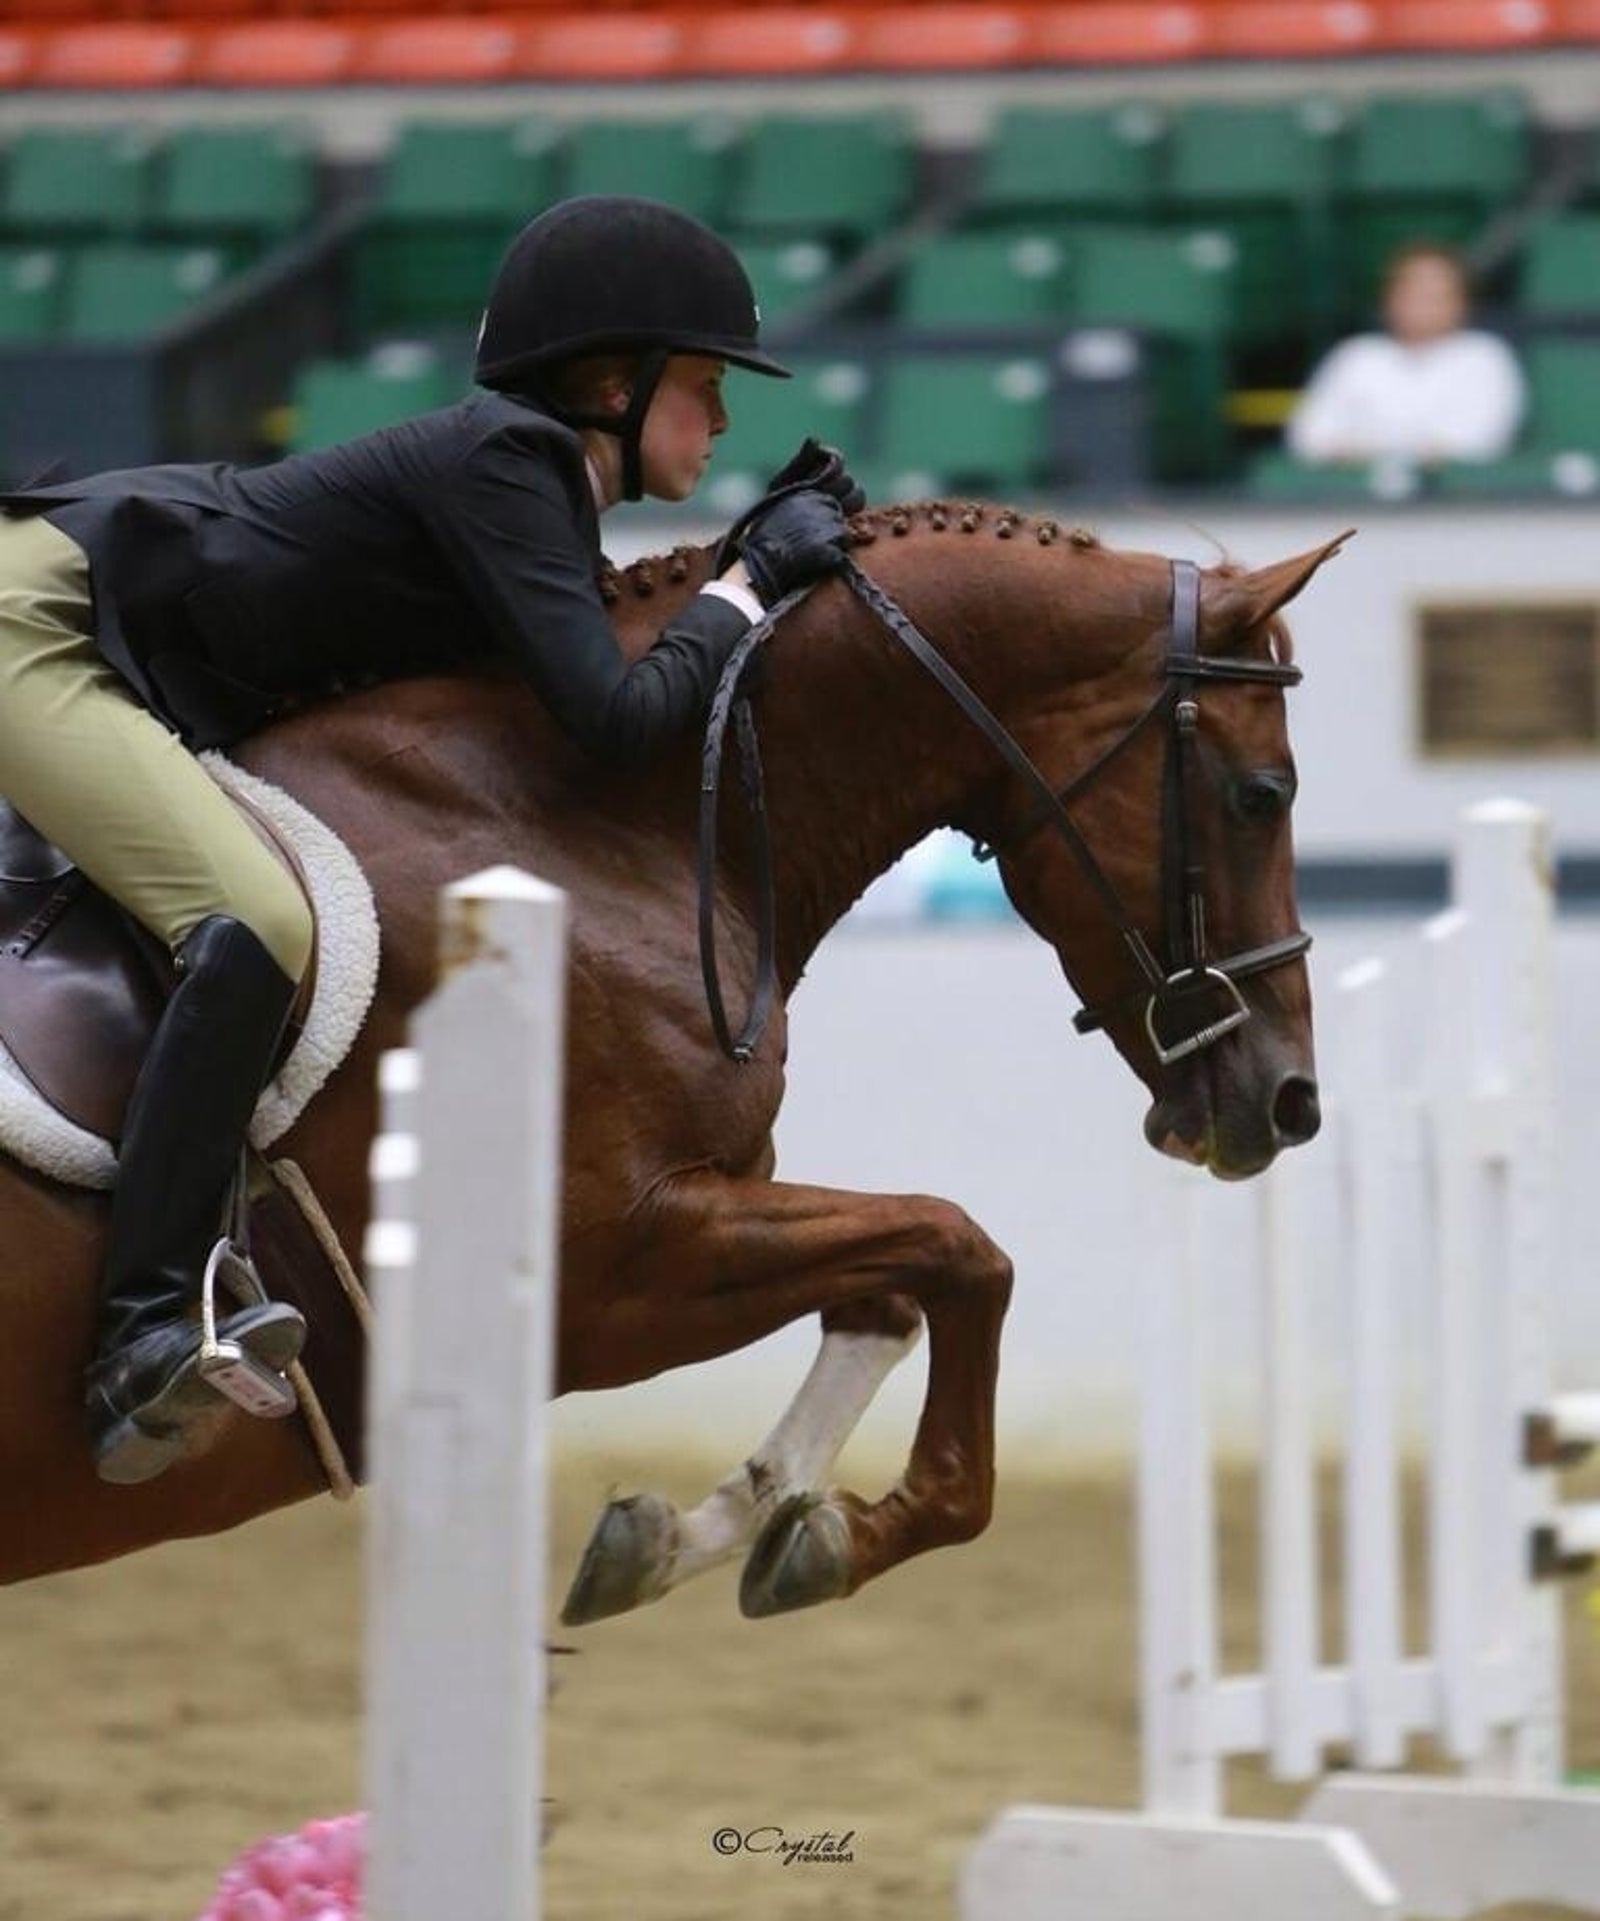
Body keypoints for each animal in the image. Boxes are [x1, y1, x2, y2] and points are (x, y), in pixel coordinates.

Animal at [0, 502, 1341, 1612]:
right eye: (1260, 793)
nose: (1288, 1104)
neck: (592, 821)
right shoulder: (608, 1272)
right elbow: (962, 1250)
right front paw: (843, 1535)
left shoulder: (707, 1207)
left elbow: (891, 1285)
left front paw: (688, 1535)